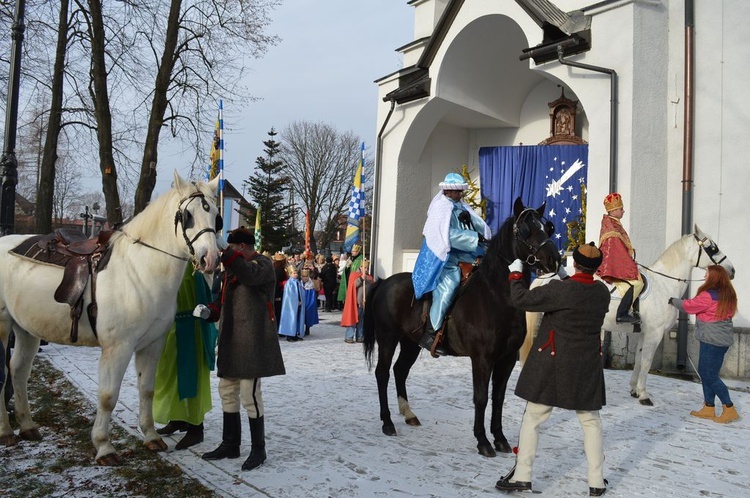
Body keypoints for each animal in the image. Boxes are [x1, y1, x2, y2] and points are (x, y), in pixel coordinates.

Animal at [0, 173, 222, 464]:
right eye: (187, 216)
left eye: (217, 216)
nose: (211, 259)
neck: (139, 269)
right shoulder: (118, 348)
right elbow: (107, 396)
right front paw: (104, 446)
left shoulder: (152, 345)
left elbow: (147, 389)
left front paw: (151, 436)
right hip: (3, 327)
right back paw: (6, 431)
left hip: (27, 329)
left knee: (18, 371)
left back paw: (27, 426)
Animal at [362, 196, 560, 458]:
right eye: (527, 230)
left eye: (547, 228)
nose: (554, 260)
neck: (497, 297)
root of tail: (384, 282)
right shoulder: (482, 358)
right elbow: (481, 398)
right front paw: (483, 441)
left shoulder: (507, 359)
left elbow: (498, 398)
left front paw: (500, 438)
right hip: (388, 338)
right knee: (382, 373)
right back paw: (387, 422)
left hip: (410, 344)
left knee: (399, 371)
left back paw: (409, 414)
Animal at [524, 224, 736, 406]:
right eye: (713, 248)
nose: (732, 270)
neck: (663, 284)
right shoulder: (654, 334)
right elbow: (647, 362)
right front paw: (644, 395)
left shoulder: (644, 333)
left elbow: (639, 360)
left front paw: (634, 389)